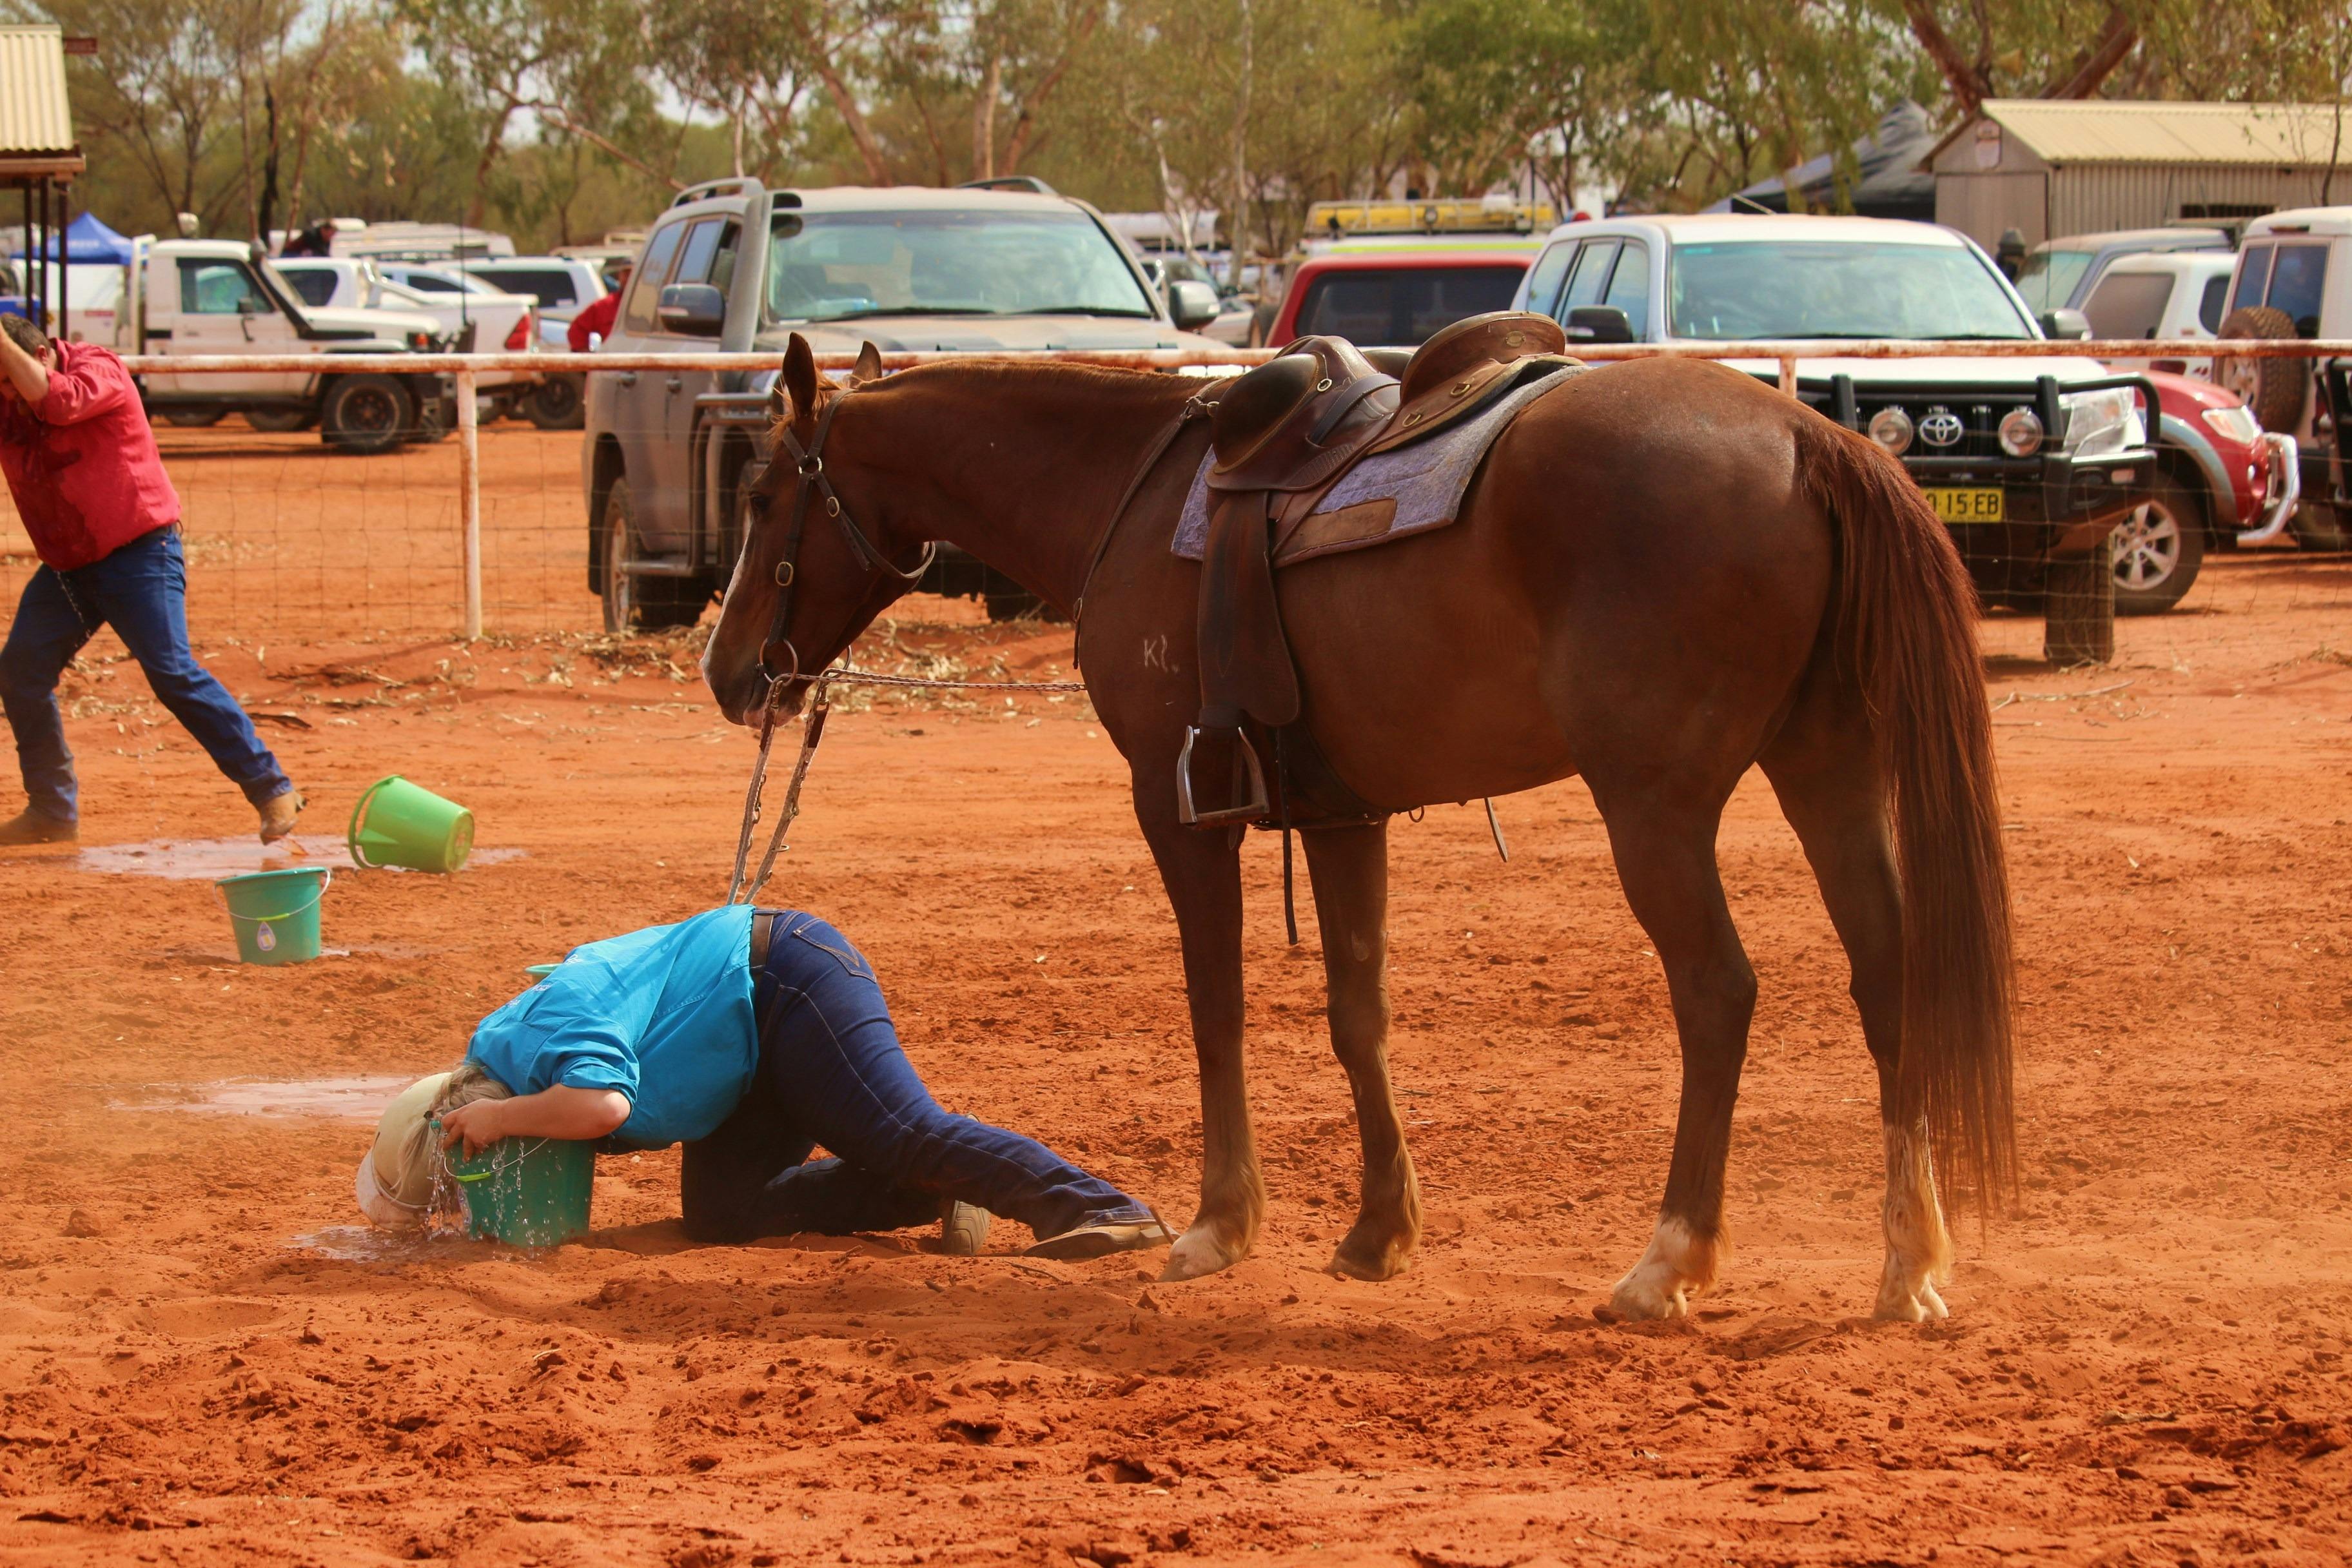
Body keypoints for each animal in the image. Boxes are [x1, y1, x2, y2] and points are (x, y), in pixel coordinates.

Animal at [702, 333, 2014, 1321]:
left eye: (765, 497)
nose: (726, 672)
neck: (1126, 492)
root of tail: (1809, 439)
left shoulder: (1177, 808)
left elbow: (1216, 1008)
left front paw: (1220, 1224)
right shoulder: (1340, 815)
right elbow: (1357, 1015)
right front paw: (1380, 1229)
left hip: (1657, 803)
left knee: (1718, 994)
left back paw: (1667, 1261)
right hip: (1828, 768)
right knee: (1889, 976)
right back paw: (1908, 1262)